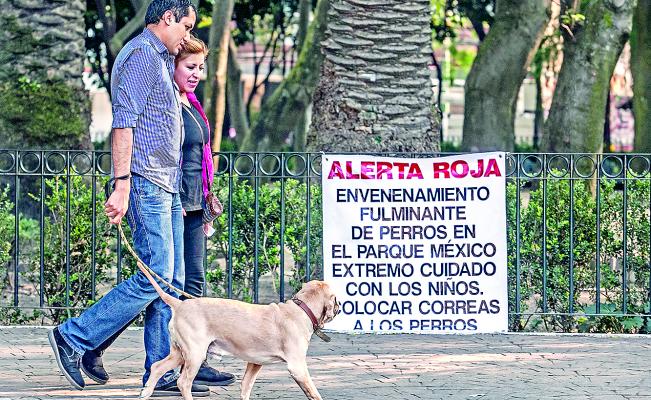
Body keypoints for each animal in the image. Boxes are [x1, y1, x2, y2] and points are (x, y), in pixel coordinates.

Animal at [138, 266, 342, 400]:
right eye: (335, 299)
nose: (340, 307)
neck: (300, 309)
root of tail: (180, 304)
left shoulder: (254, 363)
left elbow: (246, 386)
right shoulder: (297, 367)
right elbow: (314, 393)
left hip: (180, 353)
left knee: (157, 367)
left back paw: (146, 393)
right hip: (195, 354)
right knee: (183, 383)